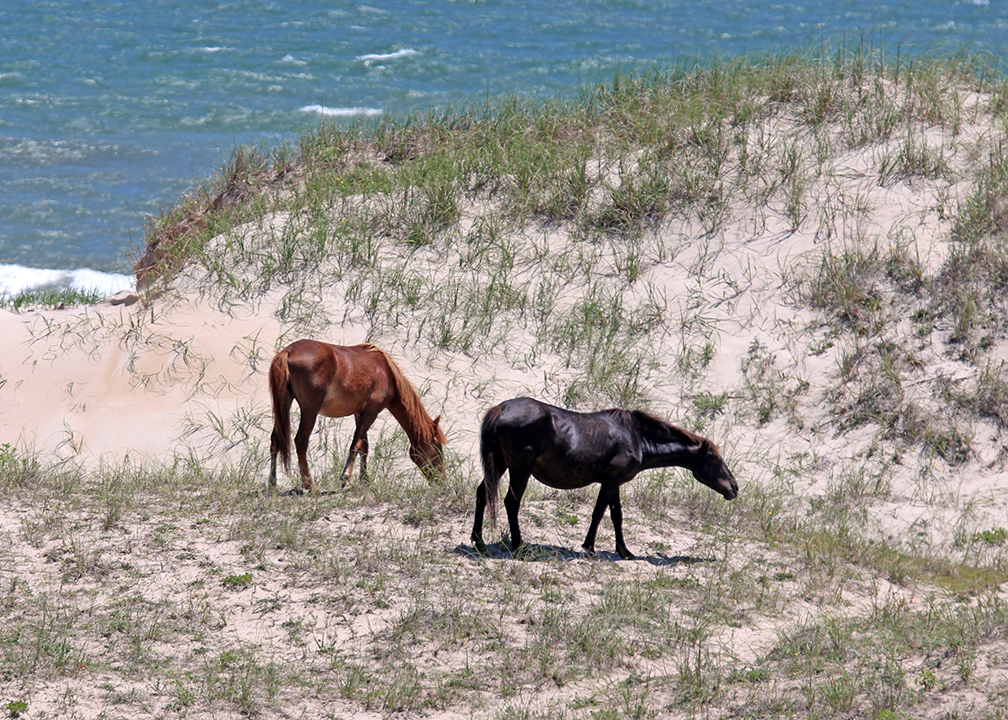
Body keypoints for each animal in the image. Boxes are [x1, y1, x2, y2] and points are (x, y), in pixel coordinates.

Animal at [268, 338, 445, 490]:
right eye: (437, 449)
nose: (442, 481)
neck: (386, 372)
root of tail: (288, 351)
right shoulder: (371, 413)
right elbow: (355, 445)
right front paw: (346, 480)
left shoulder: (360, 413)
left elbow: (364, 446)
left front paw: (365, 479)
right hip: (310, 410)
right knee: (301, 441)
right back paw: (309, 485)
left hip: (284, 406)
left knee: (275, 440)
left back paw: (272, 484)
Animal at [471, 395, 741, 556]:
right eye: (715, 459)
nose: (734, 487)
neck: (637, 437)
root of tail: (500, 409)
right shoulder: (610, 482)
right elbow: (599, 513)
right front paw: (589, 547)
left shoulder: (615, 482)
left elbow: (616, 516)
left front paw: (624, 551)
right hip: (520, 470)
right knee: (511, 502)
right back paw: (519, 545)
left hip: (500, 466)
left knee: (482, 494)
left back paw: (479, 542)